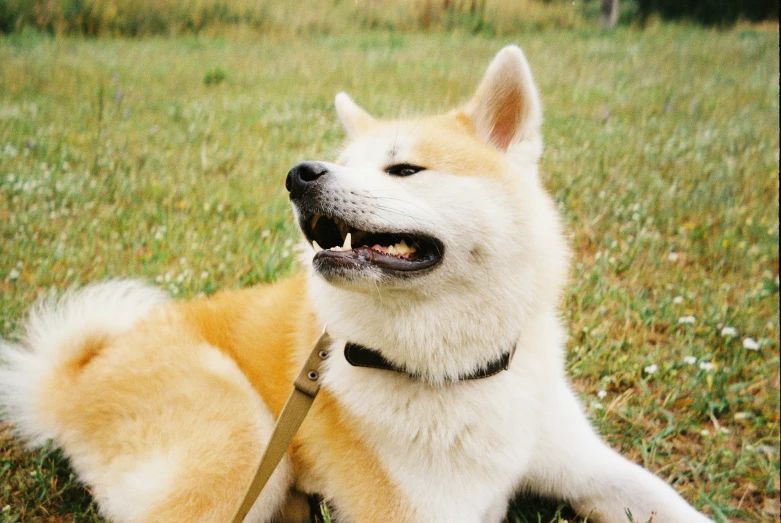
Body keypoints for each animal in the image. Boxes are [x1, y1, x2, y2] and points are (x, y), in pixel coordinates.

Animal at [1, 46, 712, 523]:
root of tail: (70, 380)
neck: (457, 373)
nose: (300, 174)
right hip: (241, 442)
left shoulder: (587, 466)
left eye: (404, 169)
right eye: (343, 162)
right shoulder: (422, 510)